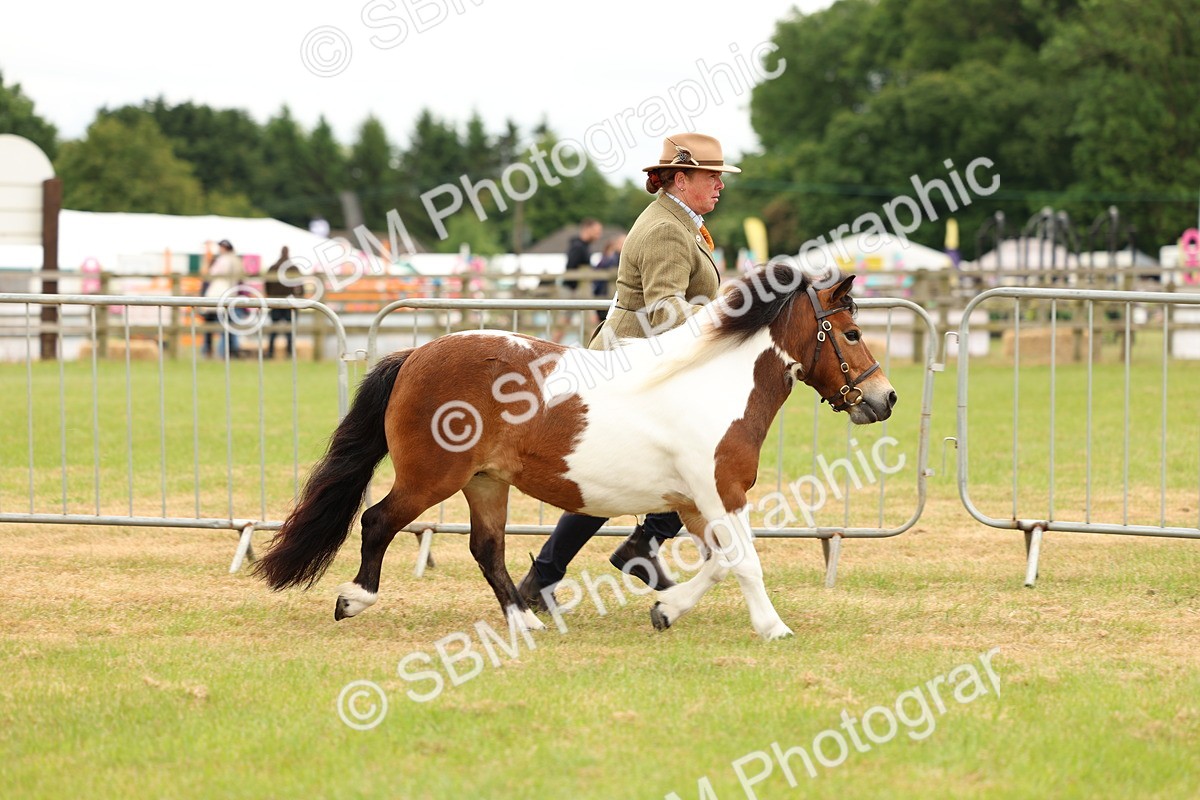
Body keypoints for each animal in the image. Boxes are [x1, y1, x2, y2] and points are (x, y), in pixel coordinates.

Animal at [254, 264, 896, 640]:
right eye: (852, 333)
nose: (885, 398)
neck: (715, 383)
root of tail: (415, 355)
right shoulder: (721, 493)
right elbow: (744, 561)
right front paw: (773, 627)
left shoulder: (697, 503)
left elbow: (719, 562)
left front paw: (666, 610)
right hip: (431, 477)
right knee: (377, 520)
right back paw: (353, 599)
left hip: (486, 482)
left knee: (487, 549)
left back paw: (523, 621)